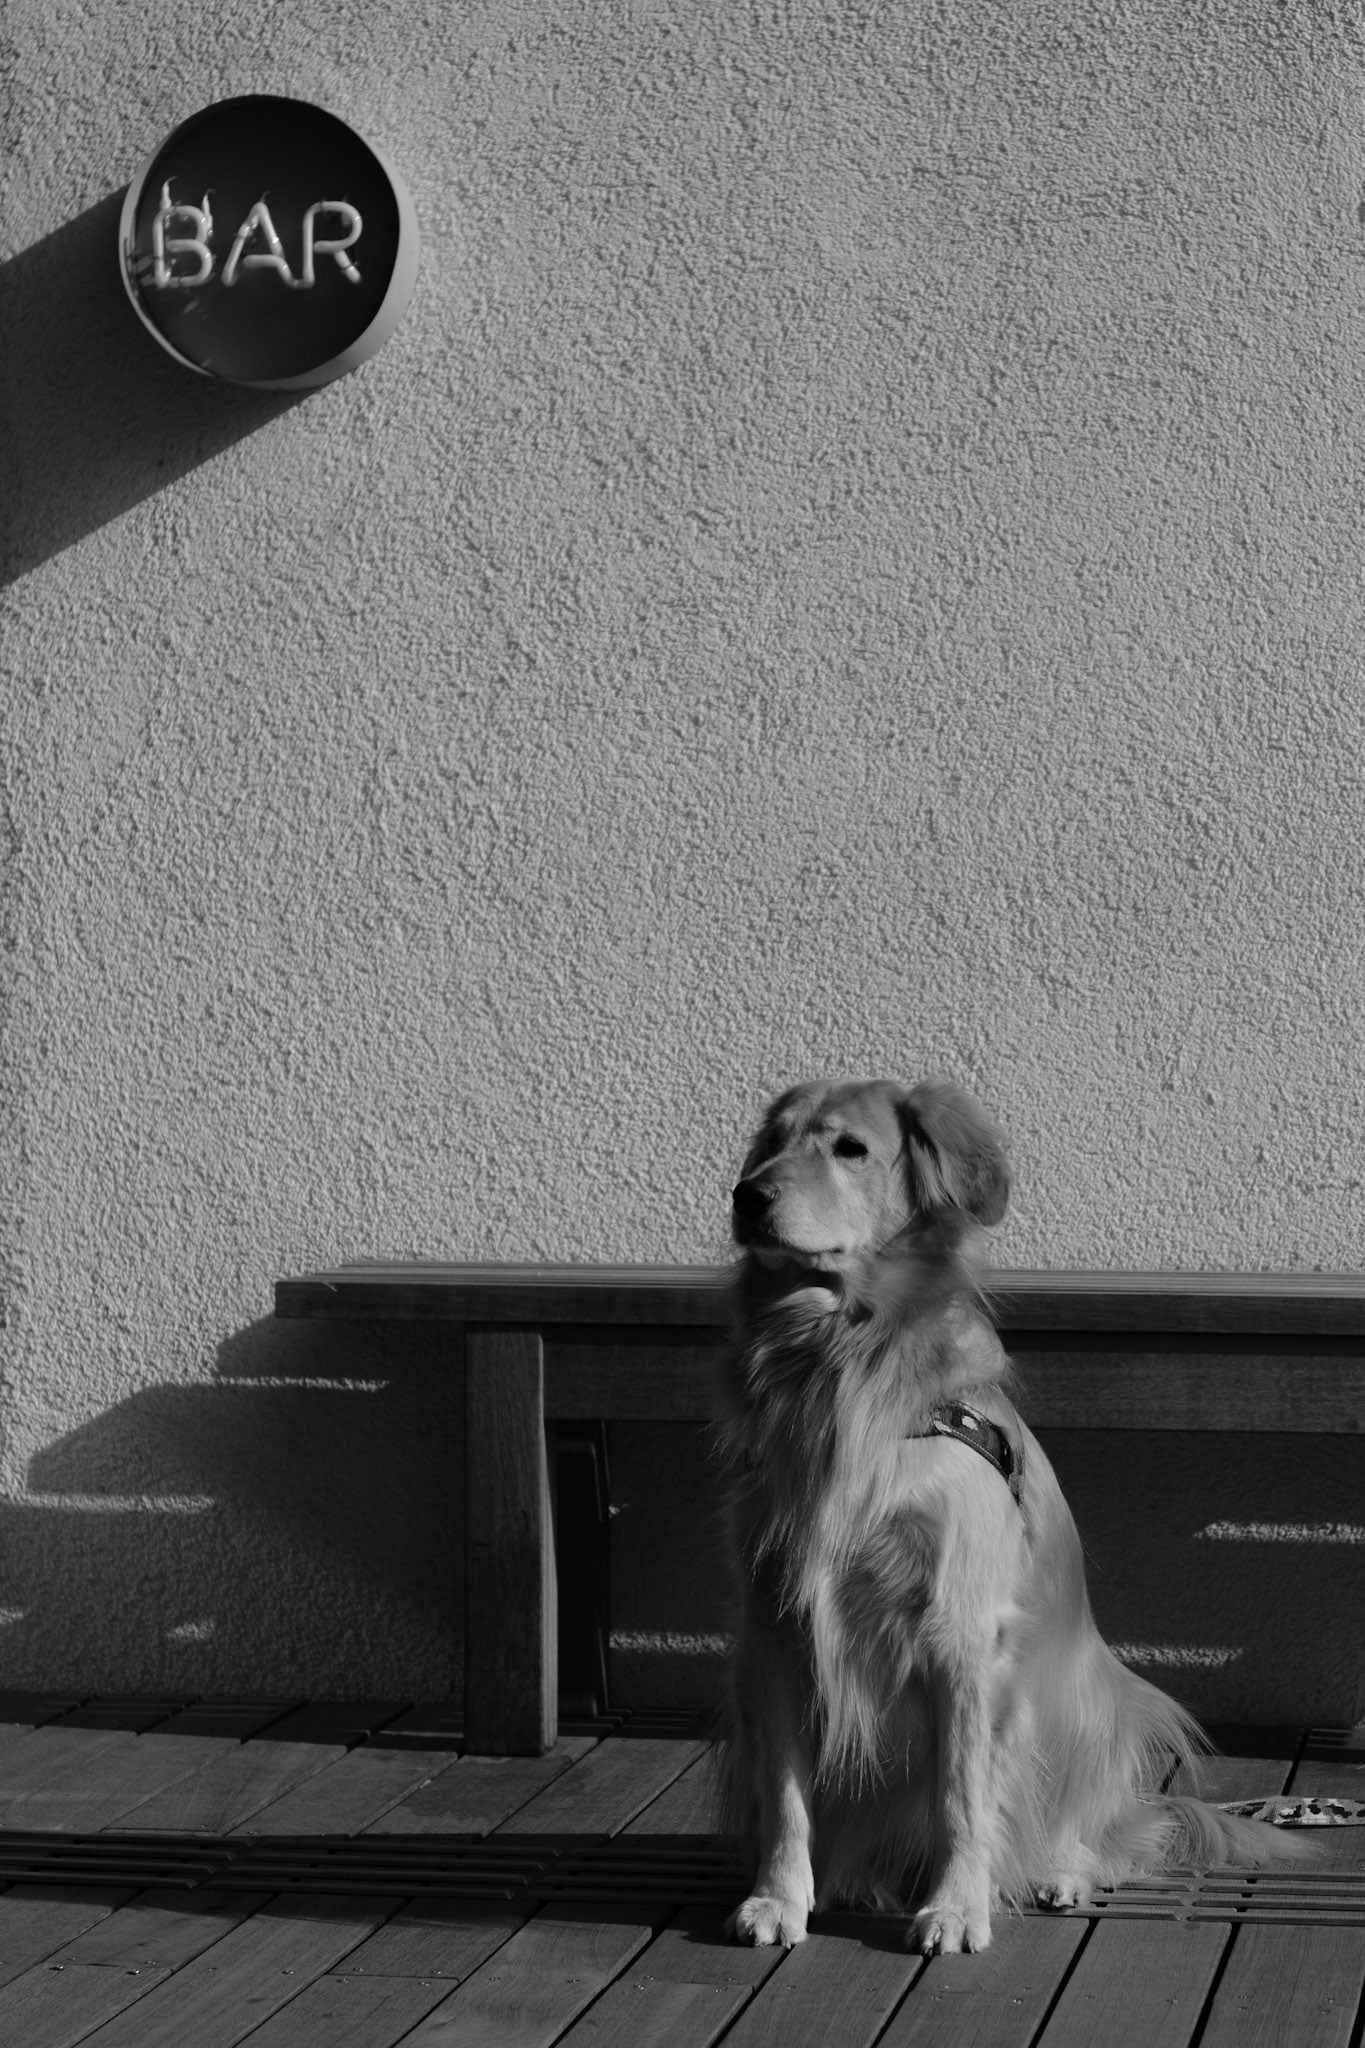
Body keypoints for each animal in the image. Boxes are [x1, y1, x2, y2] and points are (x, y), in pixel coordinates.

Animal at [717, 1076, 1311, 1955]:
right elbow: (786, 1794)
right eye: (768, 1145)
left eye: (849, 1149)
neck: (841, 1361)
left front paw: (957, 1906)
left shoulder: (961, 1634)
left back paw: (1059, 1871)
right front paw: (777, 1897)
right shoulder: (776, 1630)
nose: (747, 1196)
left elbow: (962, 1795)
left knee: (1102, 1837)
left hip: (1100, 1709)